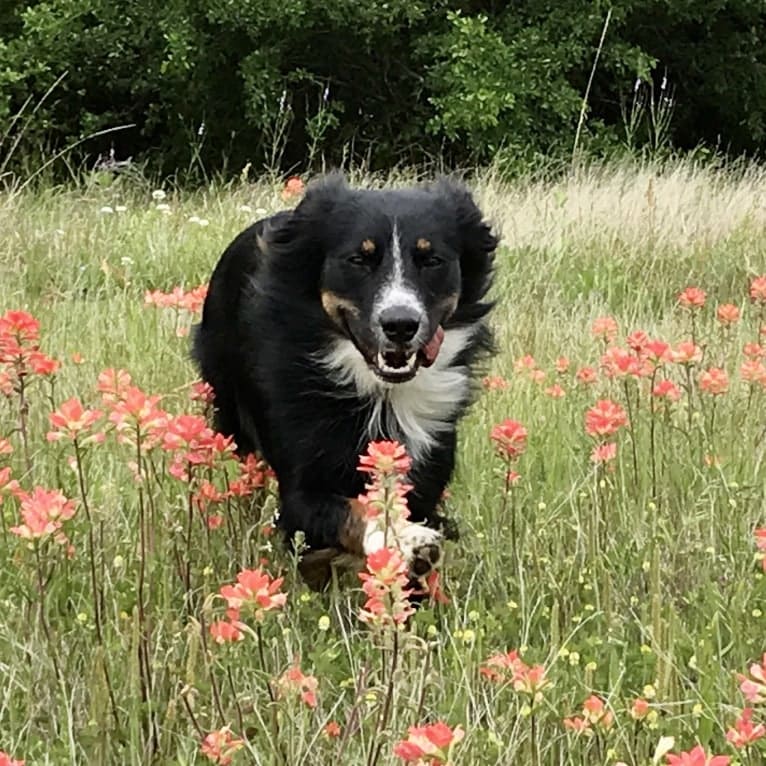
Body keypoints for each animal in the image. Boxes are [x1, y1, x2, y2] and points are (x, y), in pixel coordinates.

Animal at [194, 174, 498, 592]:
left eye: (431, 259)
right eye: (358, 259)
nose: (400, 324)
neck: (380, 391)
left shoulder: (426, 472)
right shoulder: (302, 487)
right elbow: (351, 510)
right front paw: (403, 539)